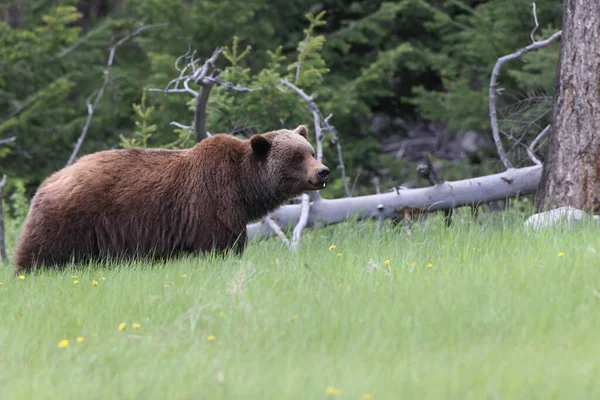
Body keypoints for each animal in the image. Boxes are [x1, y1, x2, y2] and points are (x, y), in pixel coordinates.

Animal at [14, 126, 330, 276]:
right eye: (296, 157)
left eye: (311, 151)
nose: (323, 171)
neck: (243, 187)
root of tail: (47, 182)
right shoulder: (212, 203)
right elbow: (221, 245)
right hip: (70, 220)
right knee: (40, 254)